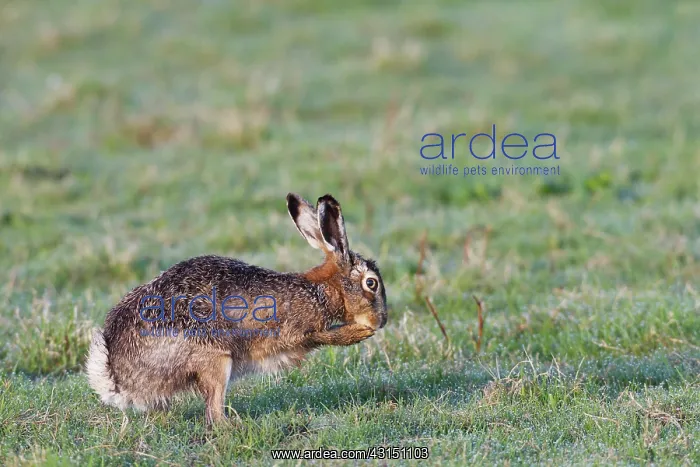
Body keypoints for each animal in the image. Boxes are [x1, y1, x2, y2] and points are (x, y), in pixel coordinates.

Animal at [85, 193, 388, 425]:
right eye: (371, 283)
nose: (382, 320)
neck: (322, 290)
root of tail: (118, 376)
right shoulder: (297, 331)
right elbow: (321, 336)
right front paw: (359, 333)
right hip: (214, 357)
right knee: (213, 414)